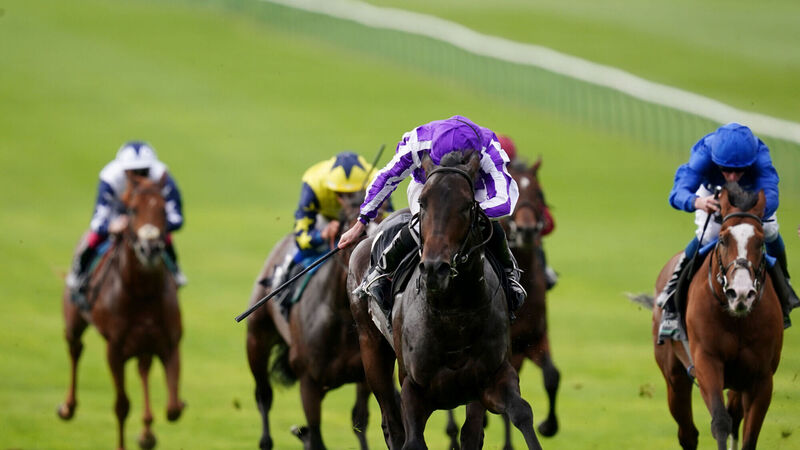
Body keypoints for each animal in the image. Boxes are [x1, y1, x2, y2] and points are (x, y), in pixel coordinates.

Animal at [58, 176, 185, 450]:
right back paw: (67, 407)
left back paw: (147, 431)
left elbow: (173, 408)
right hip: (74, 321)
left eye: (163, 209)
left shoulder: (169, 343)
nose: (150, 247)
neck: (142, 293)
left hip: (144, 345)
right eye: (133, 210)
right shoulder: (115, 349)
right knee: (75, 349)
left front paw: (149, 433)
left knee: (144, 369)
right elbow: (122, 406)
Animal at [245, 192, 374, 450]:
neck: (340, 315)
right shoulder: (309, 383)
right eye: (357, 230)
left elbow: (360, 421)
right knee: (264, 396)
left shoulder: (363, 375)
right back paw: (266, 440)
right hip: (256, 341)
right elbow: (315, 434)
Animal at [348, 151, 542, 450]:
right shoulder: (414, 391)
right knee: (392, 424)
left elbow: (520, 414)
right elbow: (412, 439)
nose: (434, 268)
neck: (453, 315)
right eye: (423, 203)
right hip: (371, 351)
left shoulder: (492, 378)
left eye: (465, 205)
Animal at [650, 182, 783, 450]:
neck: (737, 320)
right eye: (722, 239)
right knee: (688, 433)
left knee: (735, 416)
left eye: (760, 242)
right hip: (674, 376)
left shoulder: (762, 378)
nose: (741, 293)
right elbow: (720, 421)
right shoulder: (706, 361)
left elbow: (748, 436)